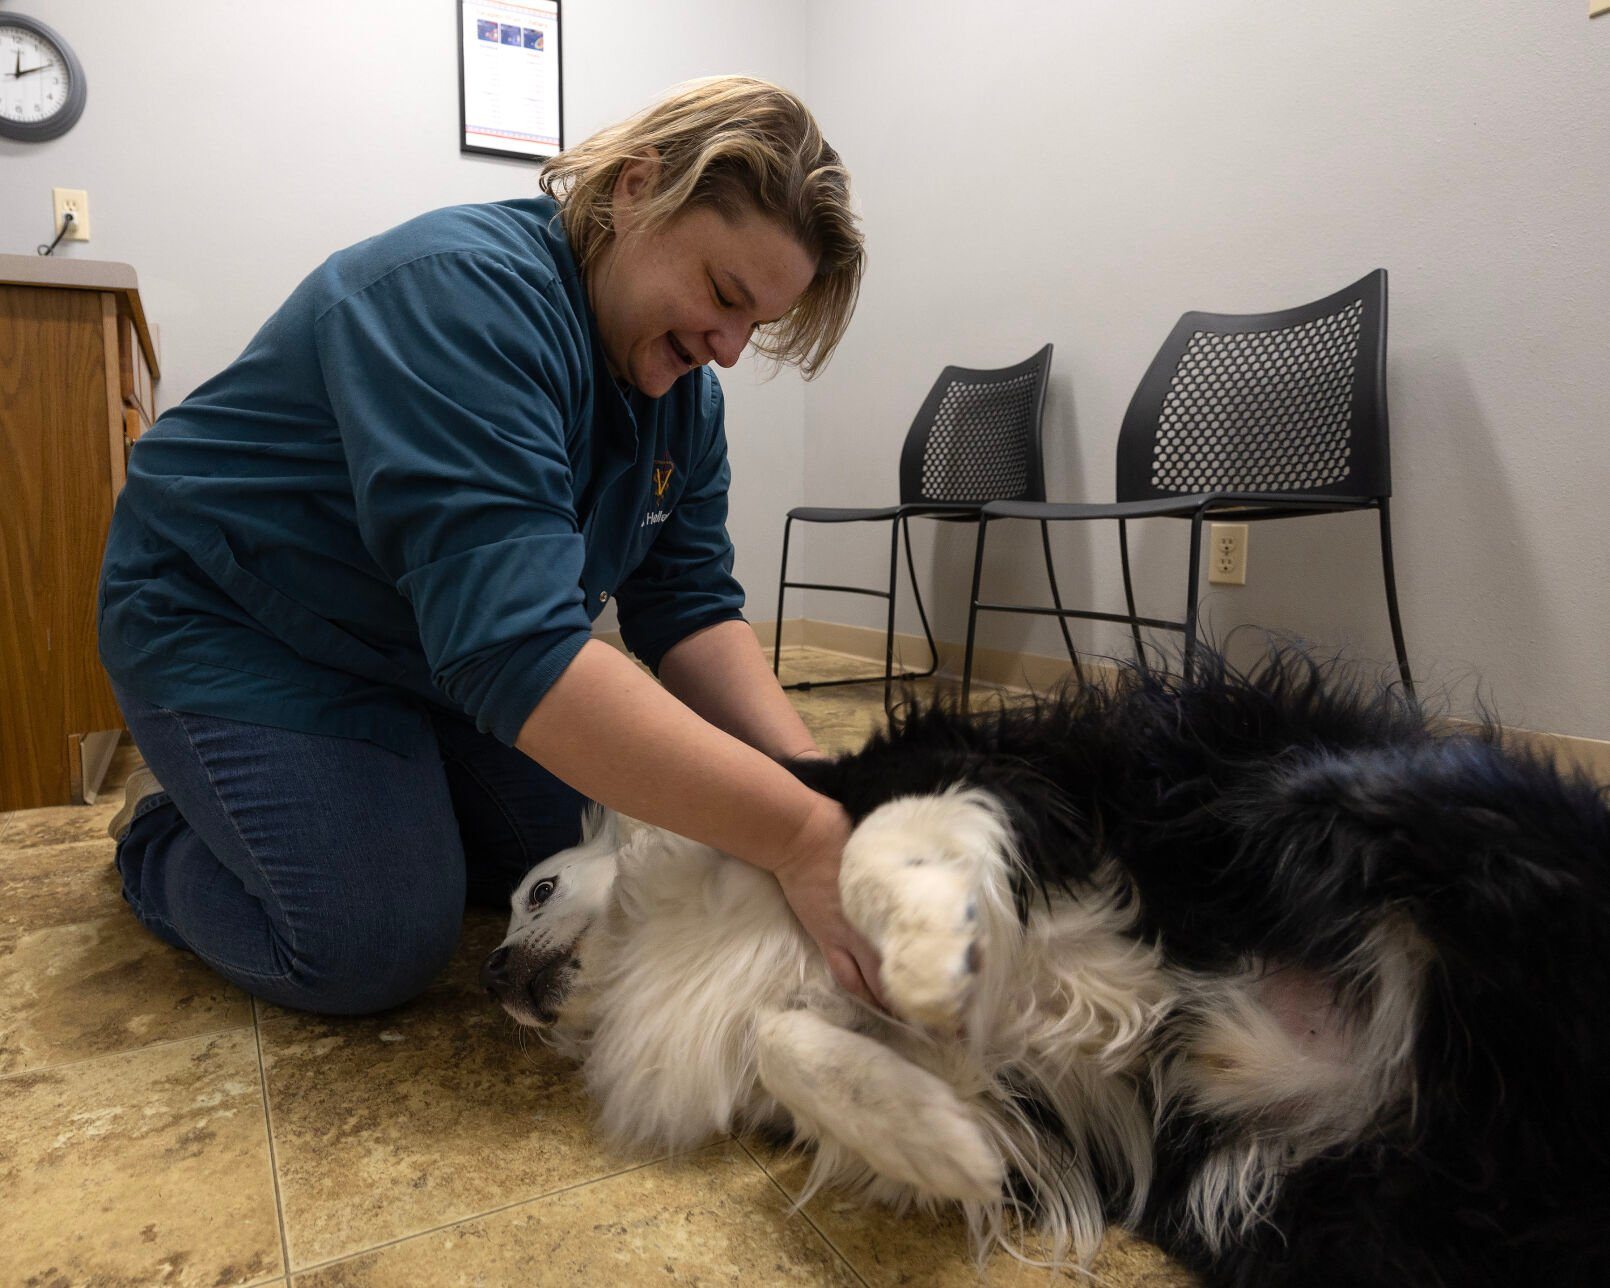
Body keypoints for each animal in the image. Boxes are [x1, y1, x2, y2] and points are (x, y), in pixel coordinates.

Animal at [483, 653, 1610, 1288]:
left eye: (535, 890)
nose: (490, 977)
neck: (681, 920)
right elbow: (789, 1040)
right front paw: (942, 1144)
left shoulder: (996, 781)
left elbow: (871, 847)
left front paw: (933, 953)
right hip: (1312, 1216)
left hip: (1311, 785)